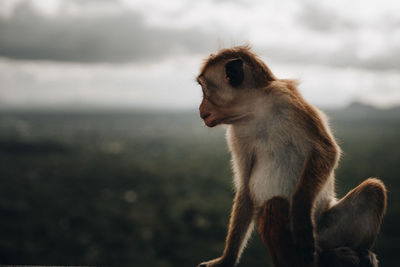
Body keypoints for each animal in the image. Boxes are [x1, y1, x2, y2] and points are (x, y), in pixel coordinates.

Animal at [195, 46, 386, 267]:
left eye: (204, 90)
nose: (200, 110)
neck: (256, 111)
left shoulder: (287, 100)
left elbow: (326, 150)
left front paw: (301, 217)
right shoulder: (237, 135)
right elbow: (245, 189)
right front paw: (226, 259)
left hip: (326, 230)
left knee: (373, 189)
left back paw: (357, 253)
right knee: (274, 205)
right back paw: (328, 257)